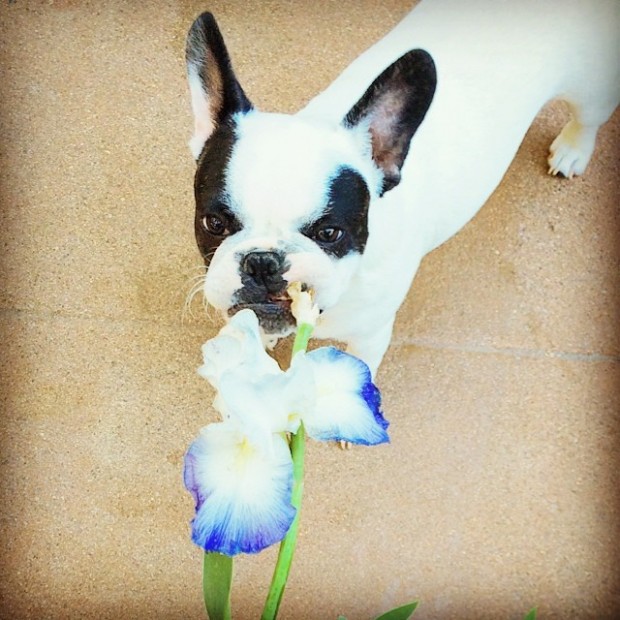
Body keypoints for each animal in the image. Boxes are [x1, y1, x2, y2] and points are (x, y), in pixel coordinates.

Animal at [185, 0, 620, 376]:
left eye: (330, 233)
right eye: (214, 224)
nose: (262, 262)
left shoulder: (371, 334)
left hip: (592, 87)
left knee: (589, 117)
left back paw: (573, 149)